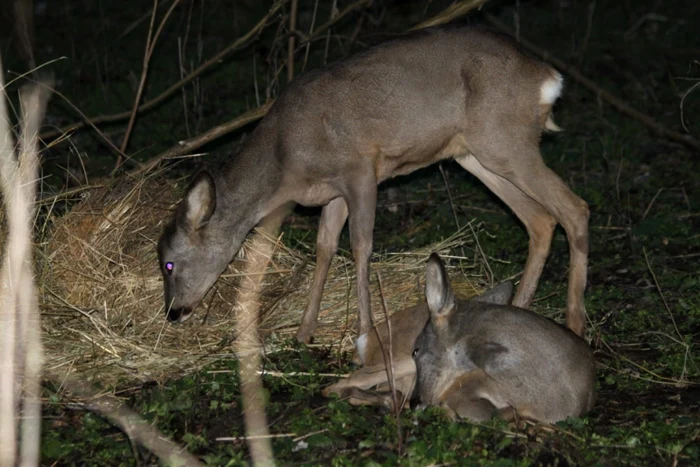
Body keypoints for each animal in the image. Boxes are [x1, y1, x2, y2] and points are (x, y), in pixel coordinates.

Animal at [156, 25, 588, 348]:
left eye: (169, 263)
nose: (173, 312)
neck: (284, 161)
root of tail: (548, 79)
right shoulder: (332, 193)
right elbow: (325, 248)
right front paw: (304, 332)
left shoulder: (361, 169)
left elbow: (361, 247)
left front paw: (364, 334)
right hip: (477, 154)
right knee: (540, 219)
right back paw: (520, 310)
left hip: (506, 140)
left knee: (574, 208)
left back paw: (574, 326)